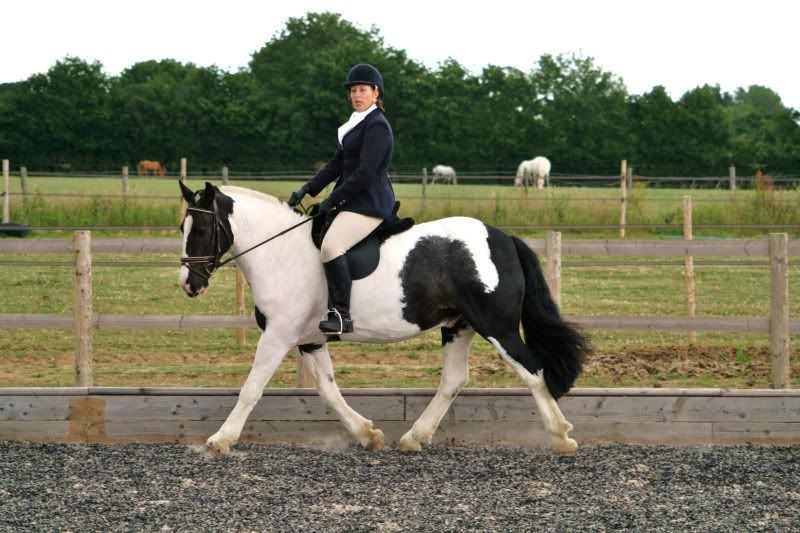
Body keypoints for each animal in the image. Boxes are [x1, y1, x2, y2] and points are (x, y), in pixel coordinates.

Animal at [177, 182, 588, 454]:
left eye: (202, 229)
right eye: (183, 228)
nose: (188, 283)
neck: (280, 251)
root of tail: (504, 238)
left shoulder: (278, 334)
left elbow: (252, 388)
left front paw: (220, 440)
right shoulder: (310, 339)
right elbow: (328, 389)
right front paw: (366, 434)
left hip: (496, 326)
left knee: (533, 369)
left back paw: (561, 436)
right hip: (459, 326)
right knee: (454, 379)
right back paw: (414, 437)